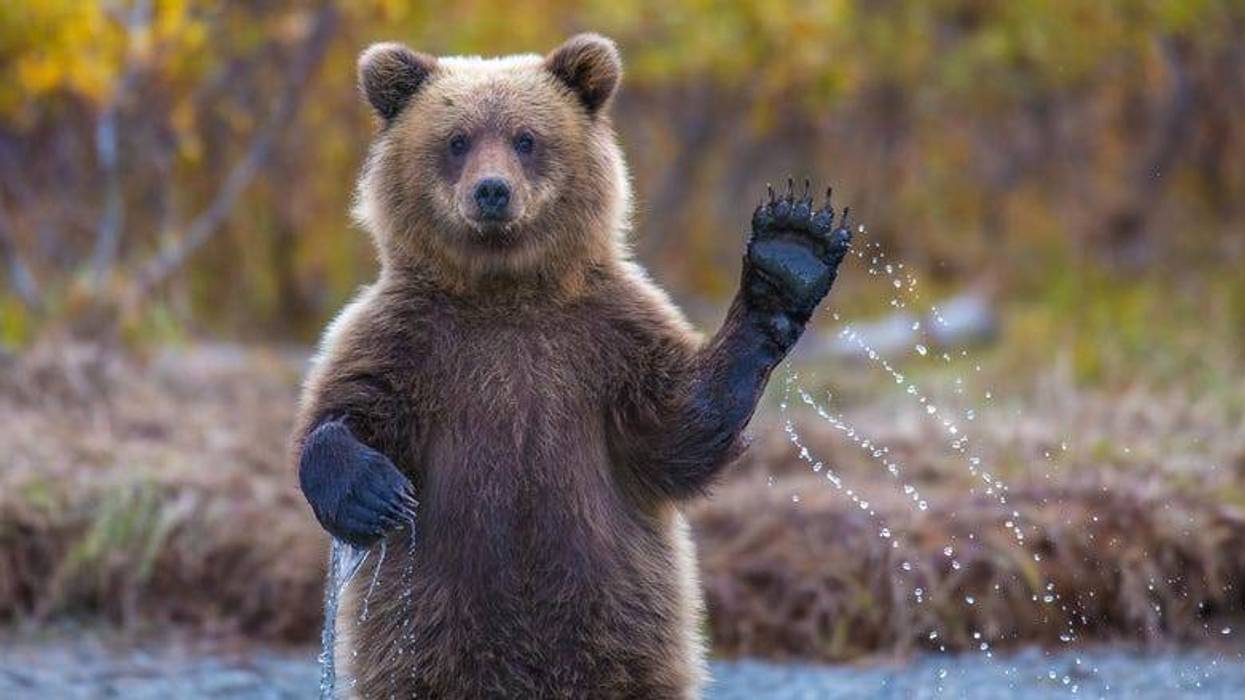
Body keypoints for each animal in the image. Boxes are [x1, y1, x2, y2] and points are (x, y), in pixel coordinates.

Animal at [293, 33, 852, 699]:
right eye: (457, 140)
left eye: (525, 138)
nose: (492, 191)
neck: (505, 290)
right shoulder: (409, 337)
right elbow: (347, 409)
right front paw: (372, 493)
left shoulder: (607, 337)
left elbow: (678, 428)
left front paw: (789, 255)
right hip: (426, 636)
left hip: (621, 628)